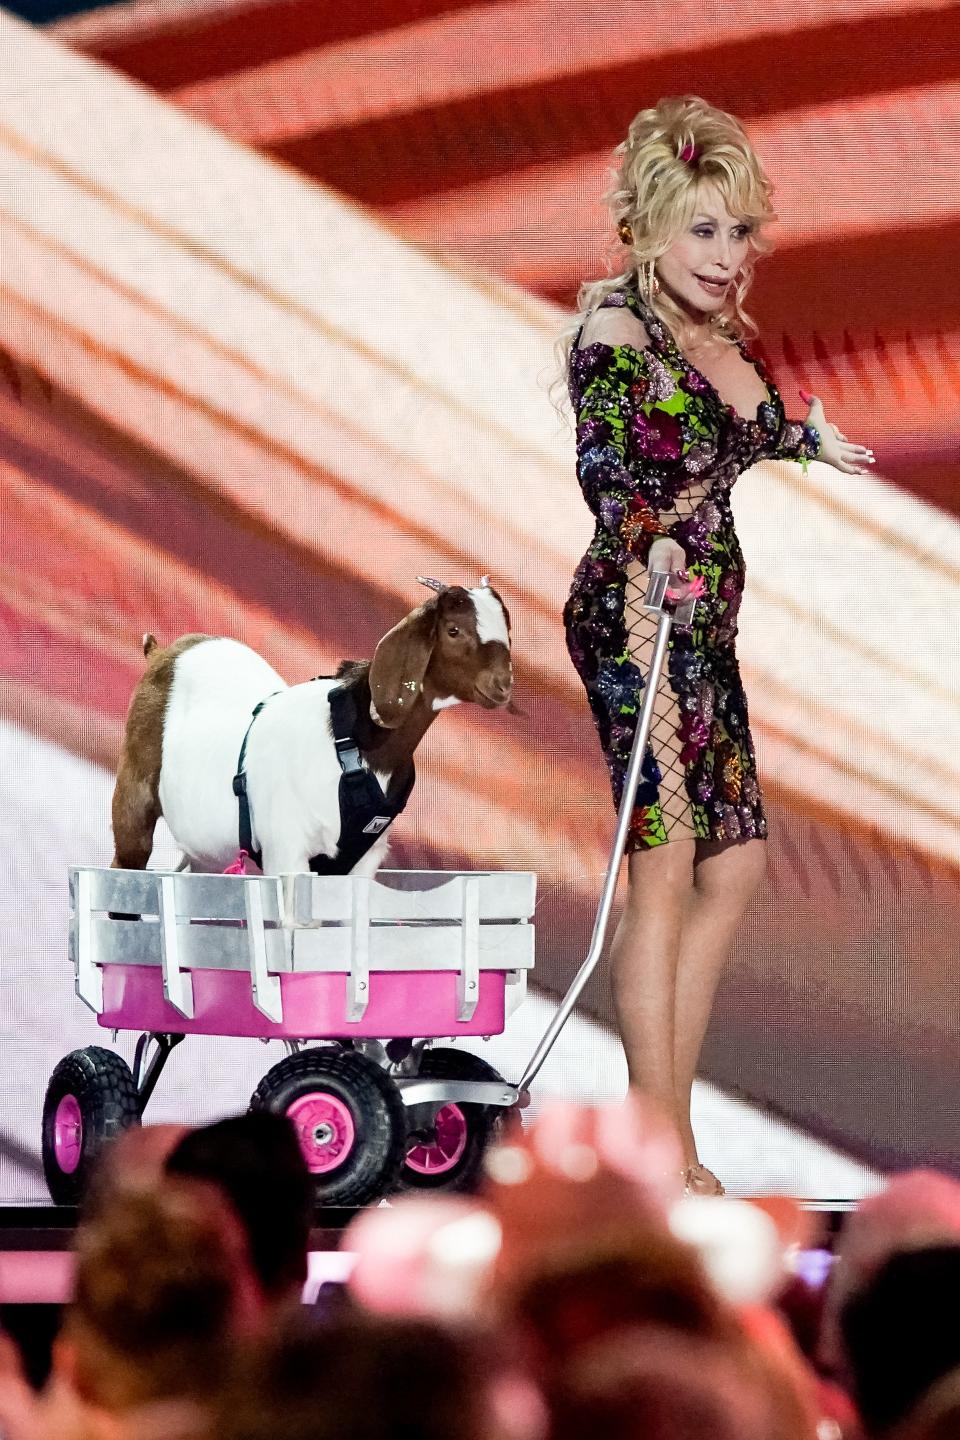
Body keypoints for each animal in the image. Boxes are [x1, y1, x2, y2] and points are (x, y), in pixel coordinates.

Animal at [110, 576, 515, 869]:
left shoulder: (360, 861)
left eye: (508, 632)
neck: (354, 744)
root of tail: (162, 652)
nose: (503, 684)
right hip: (134, 800)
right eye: (453, 630)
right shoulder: (287, 848)